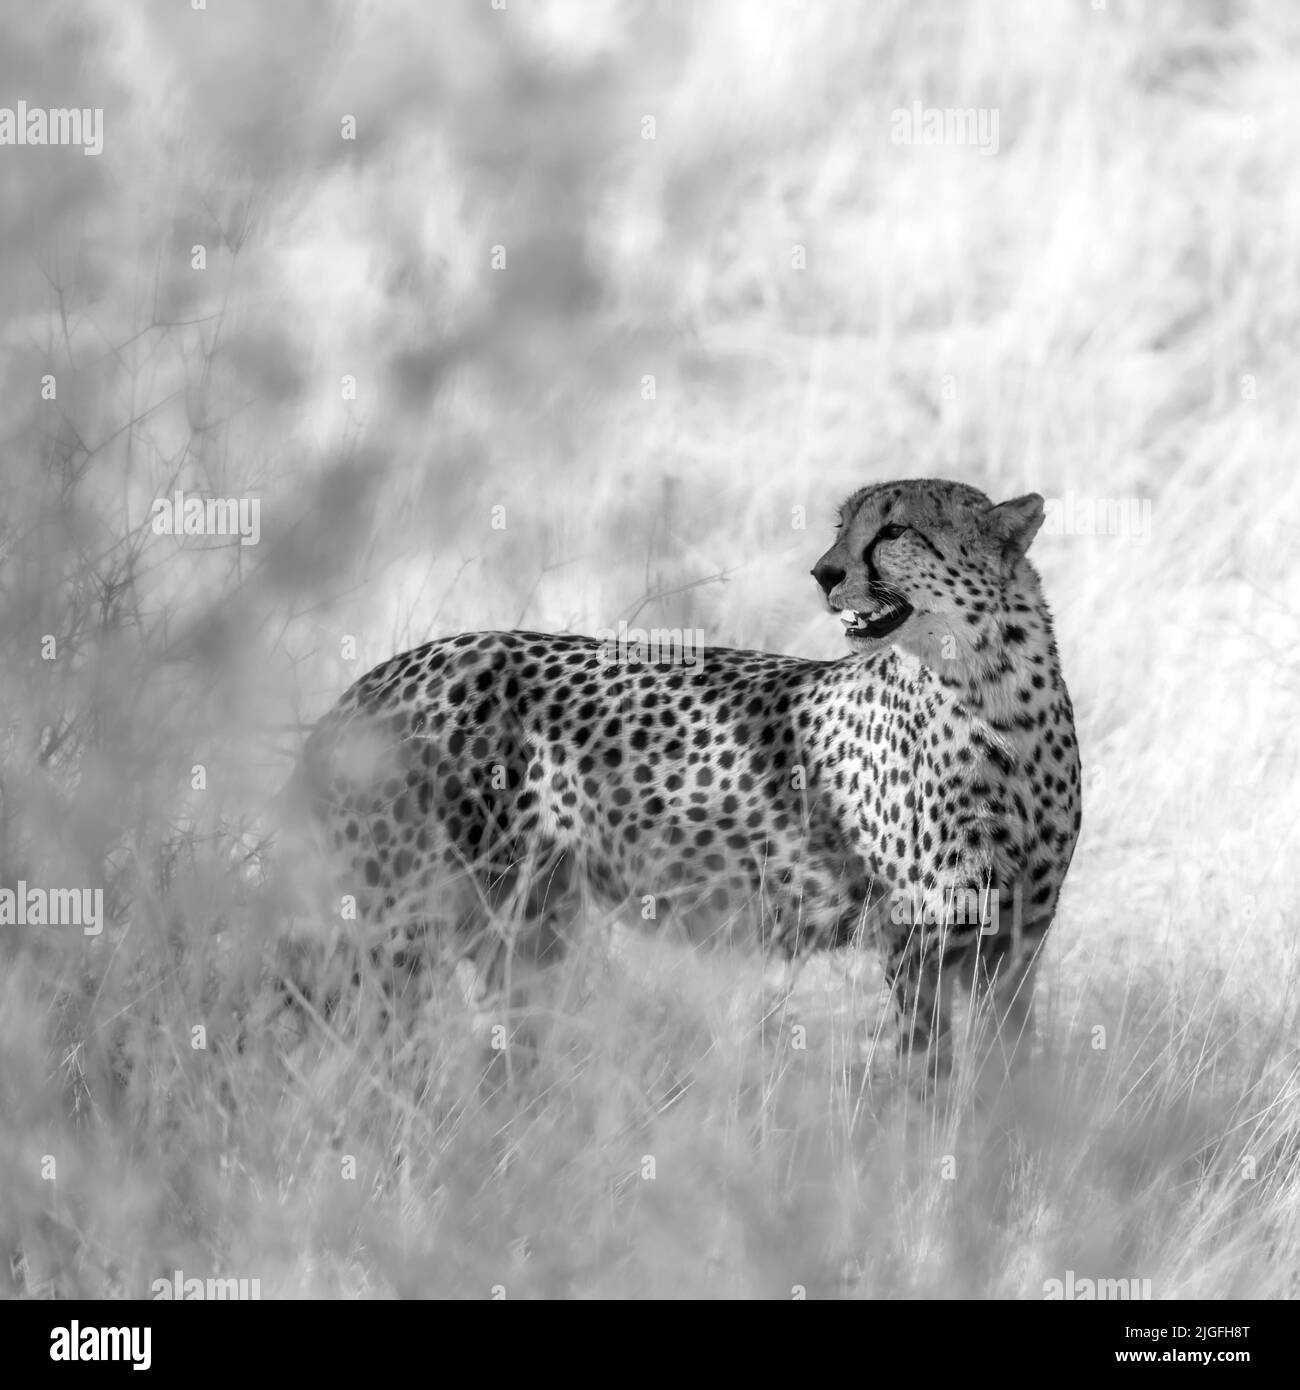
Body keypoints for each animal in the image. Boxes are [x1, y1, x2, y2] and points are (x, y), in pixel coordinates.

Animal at [300, 483, 1084, 1078]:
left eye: (895, 529)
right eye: (842, 527)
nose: (824, 574)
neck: (991, 694)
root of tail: (382, 674)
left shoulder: (1017, 945)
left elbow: (1011, 1069)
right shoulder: (915, 941)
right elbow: (931, 1074)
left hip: (523, 922)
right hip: (407, 925)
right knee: (359, 1042)